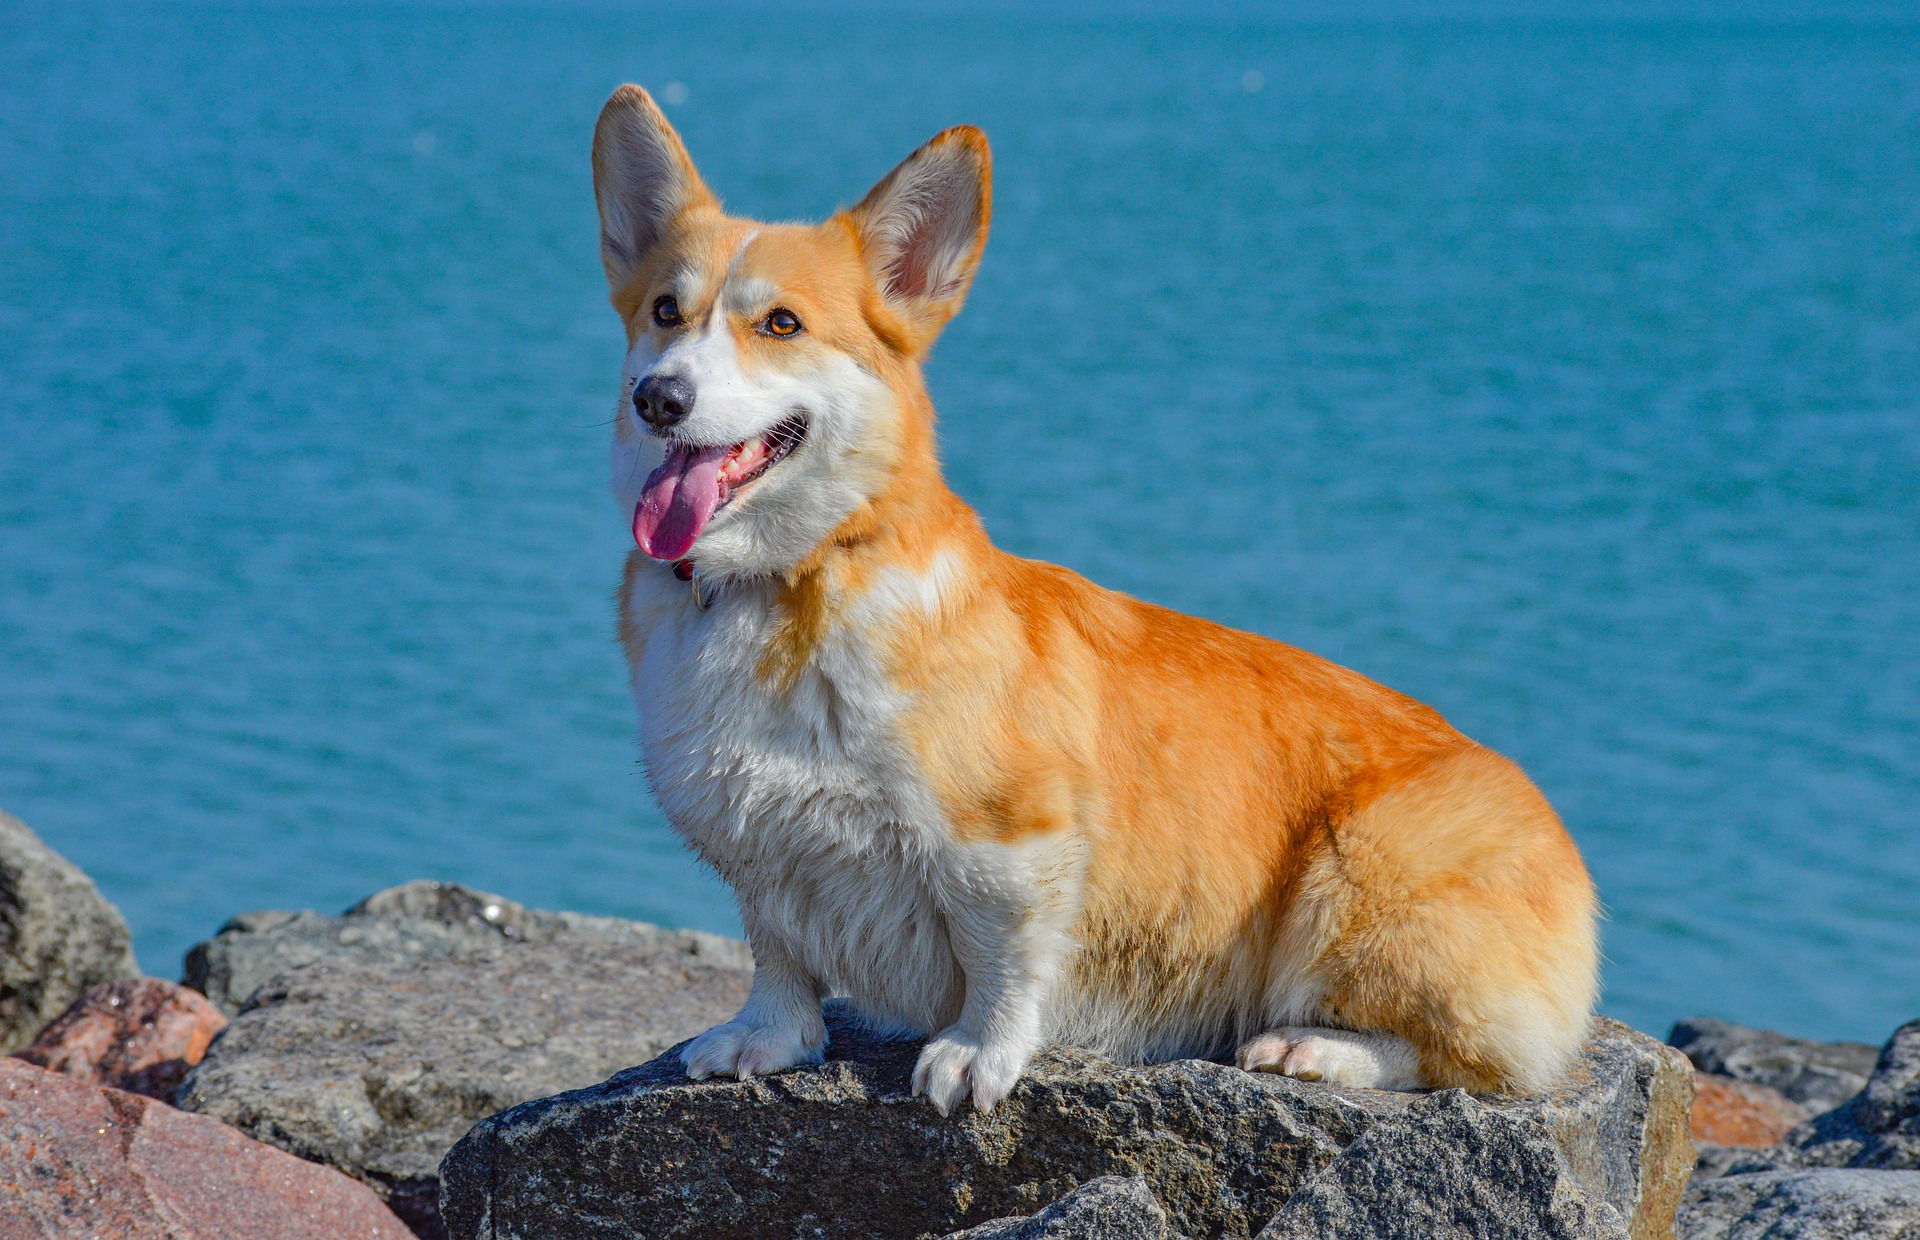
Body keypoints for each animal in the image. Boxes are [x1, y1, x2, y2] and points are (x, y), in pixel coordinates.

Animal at [591, 87, 1597, 1120]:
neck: (786, 581)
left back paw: (1312, 1049)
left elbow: (1001, 958)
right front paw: (767, 1038)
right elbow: (780, 949)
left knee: (1469, 1058)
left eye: (782, 325)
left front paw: (976, 1053)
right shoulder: (758, 846)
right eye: (665, 312)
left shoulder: (1010, 840)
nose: (659, 397)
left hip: (1359, 876)